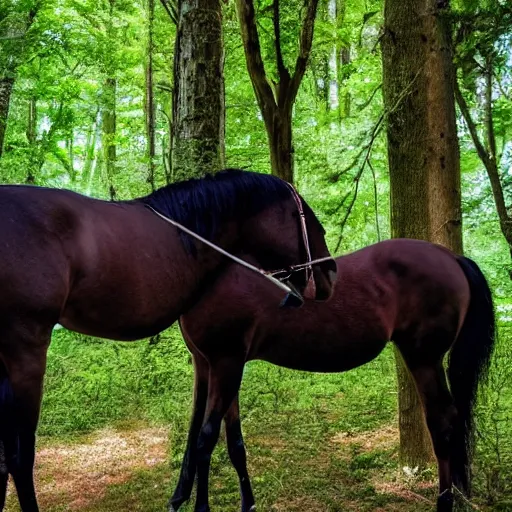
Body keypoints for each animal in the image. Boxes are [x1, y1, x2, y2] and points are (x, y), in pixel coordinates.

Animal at [174, 238, 494, 512]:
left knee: (442, 421)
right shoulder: (210, 365)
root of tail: (450, 257)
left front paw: (200, 506)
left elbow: (205, 437)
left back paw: (445, 501)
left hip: (424, 359)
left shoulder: (225, 363)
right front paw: (189, 499)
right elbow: (220, 436)